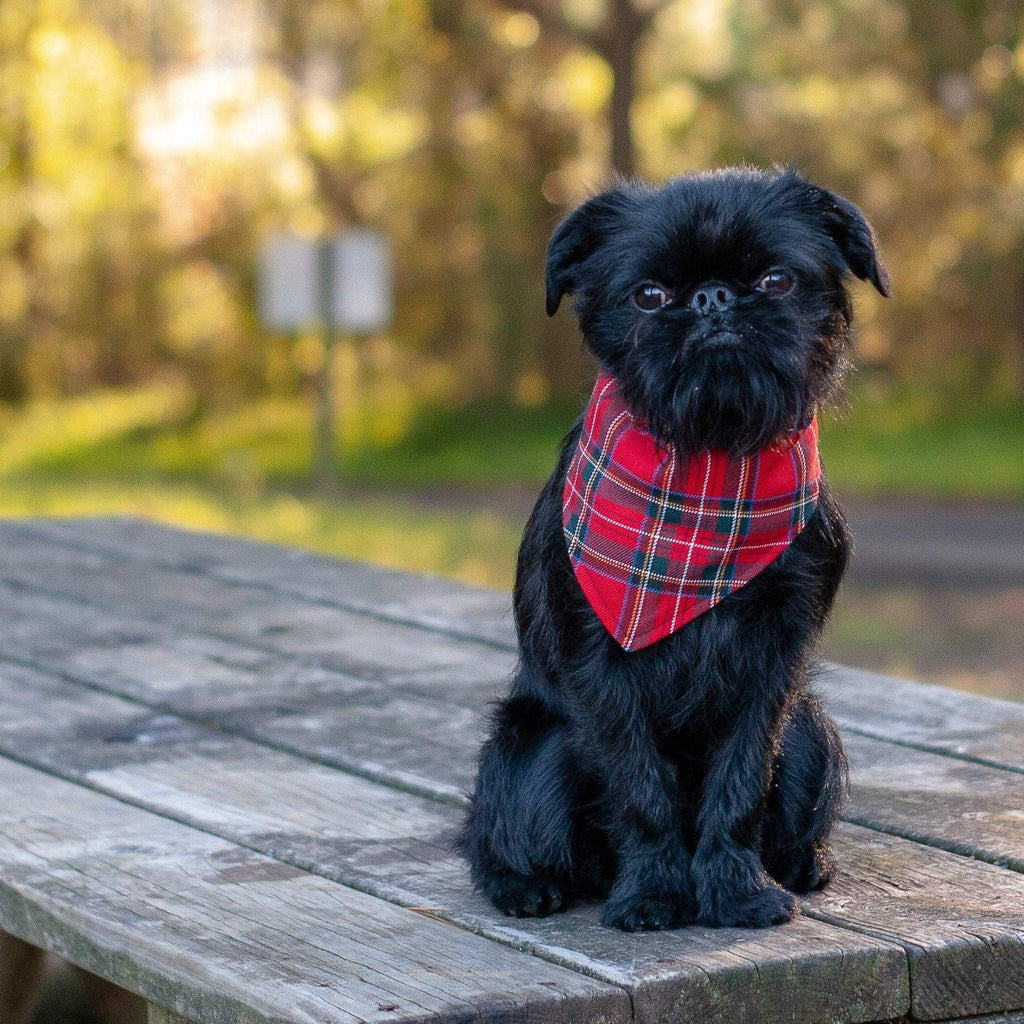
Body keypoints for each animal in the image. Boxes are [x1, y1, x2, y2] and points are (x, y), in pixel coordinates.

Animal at [460, 165, 892, 929]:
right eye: (650, 296)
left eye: (777, 280)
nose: (713, 297)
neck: (709, 462)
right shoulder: (601, 664)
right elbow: (641, 787)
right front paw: (656, 892)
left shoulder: (772, 664)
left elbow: (742, 779)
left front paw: (736, 890)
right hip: (533, 748)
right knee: (491, 830)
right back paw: (523, 887)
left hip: (811, 731)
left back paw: (803, 864)